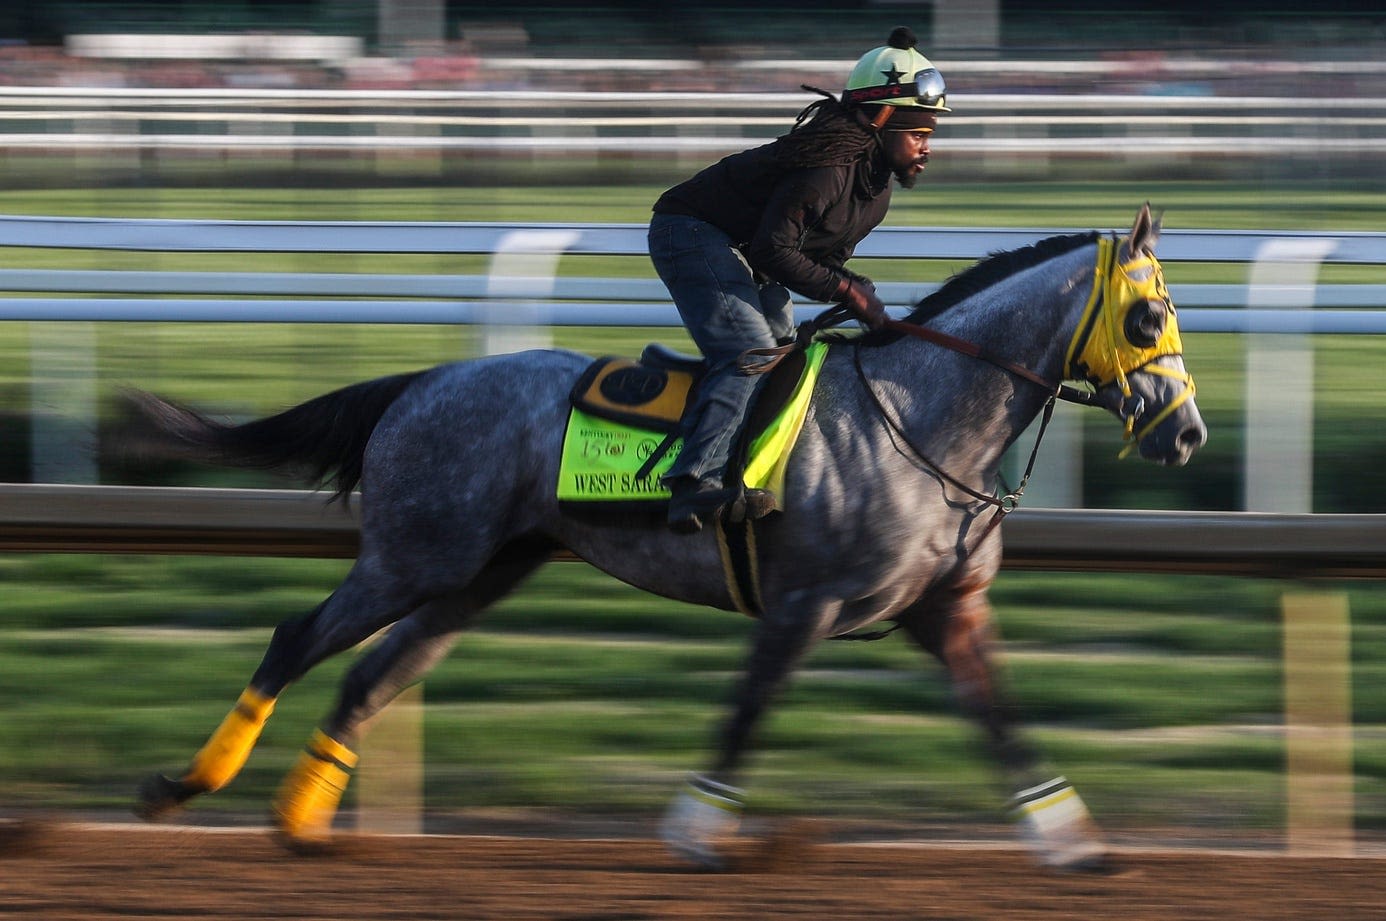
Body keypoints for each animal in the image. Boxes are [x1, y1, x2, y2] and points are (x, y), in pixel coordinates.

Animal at [135, 206, 1208, 869]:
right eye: (1147, 313)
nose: (1187, 433)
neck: (919, 418)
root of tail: (420, 382)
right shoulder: (804, 602)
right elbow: (746, 714)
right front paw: (695, 833)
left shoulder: (949, 609)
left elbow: (1003, 722)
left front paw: (1074, 844)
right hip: (414, 555)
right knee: (297, 640)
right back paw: (184, 785)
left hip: (477, 572)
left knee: (370, 674)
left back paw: (300, 823)